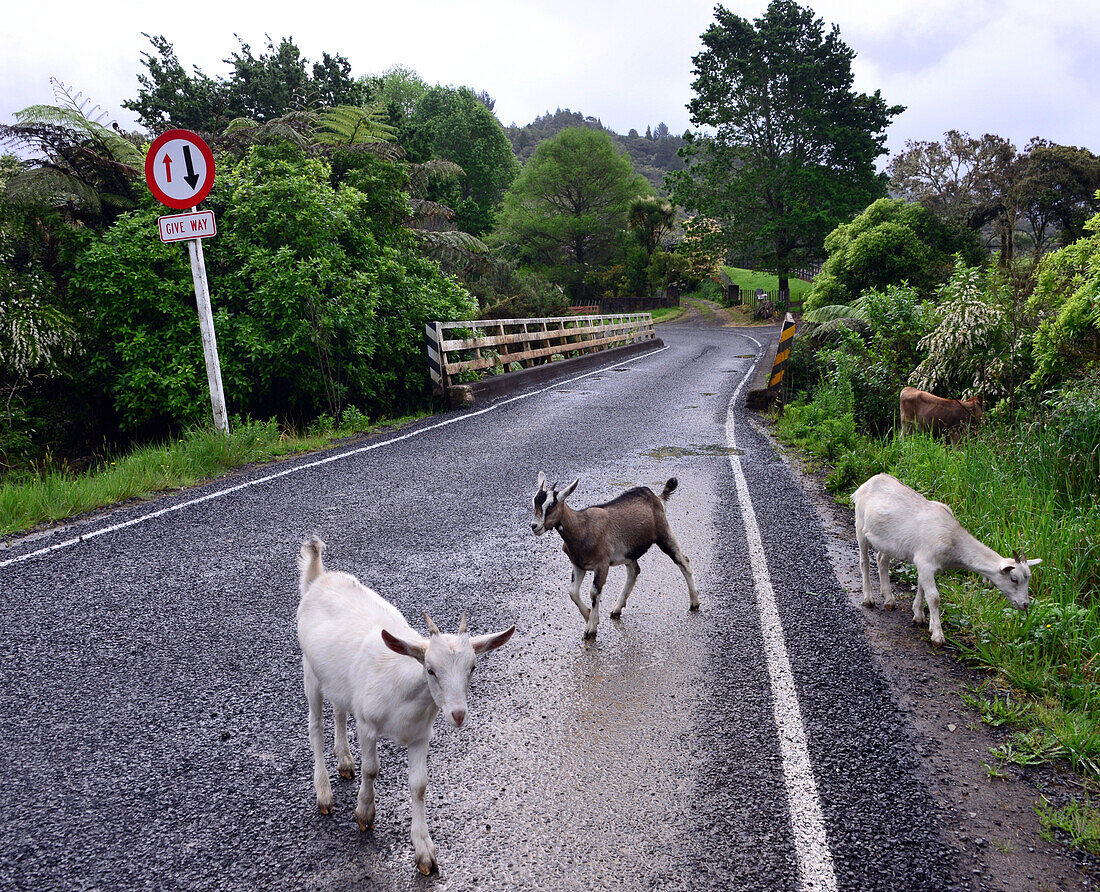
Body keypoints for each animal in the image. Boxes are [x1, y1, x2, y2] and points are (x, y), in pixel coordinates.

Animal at [292, 541, 514, 875]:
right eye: (430, 669)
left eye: (473, 667)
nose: (458, 715)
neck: (405, 694)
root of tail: (318, 578)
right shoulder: (367, 725)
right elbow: (372, 769)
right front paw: (365, 813)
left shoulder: (420, 735)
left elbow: (419, 785)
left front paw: (424, 851)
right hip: (310, 672)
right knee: (315, 726)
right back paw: (324, 793)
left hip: (337, 681)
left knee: (340, 710)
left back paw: (344, 760)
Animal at [530, 470, 695, 637]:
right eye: (534, 502)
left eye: (551, 505)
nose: (534, 526)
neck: (582, 527)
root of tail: (657, 498)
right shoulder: (578, 564)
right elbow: (573, 592)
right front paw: (588, 615)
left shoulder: (602, 564)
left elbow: (594, 592)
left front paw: (591, 627)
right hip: (629, 552)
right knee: (634, 571)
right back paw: (616, 609)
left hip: (663, 534)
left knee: (683, 561)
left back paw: (694, 603)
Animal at [849, 475, 1038, 646]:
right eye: (1014, 579)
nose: (1025, 604)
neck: (953, 540)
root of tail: (869, 482)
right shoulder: (925, 562)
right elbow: (934, 597)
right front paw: (937, 635)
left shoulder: (925, 565)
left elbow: (922, 587)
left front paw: (919, 616)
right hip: (860, 525)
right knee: (865, 561)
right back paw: (869, 598)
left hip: (887, 540)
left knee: (881, 560)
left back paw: (889, 599)